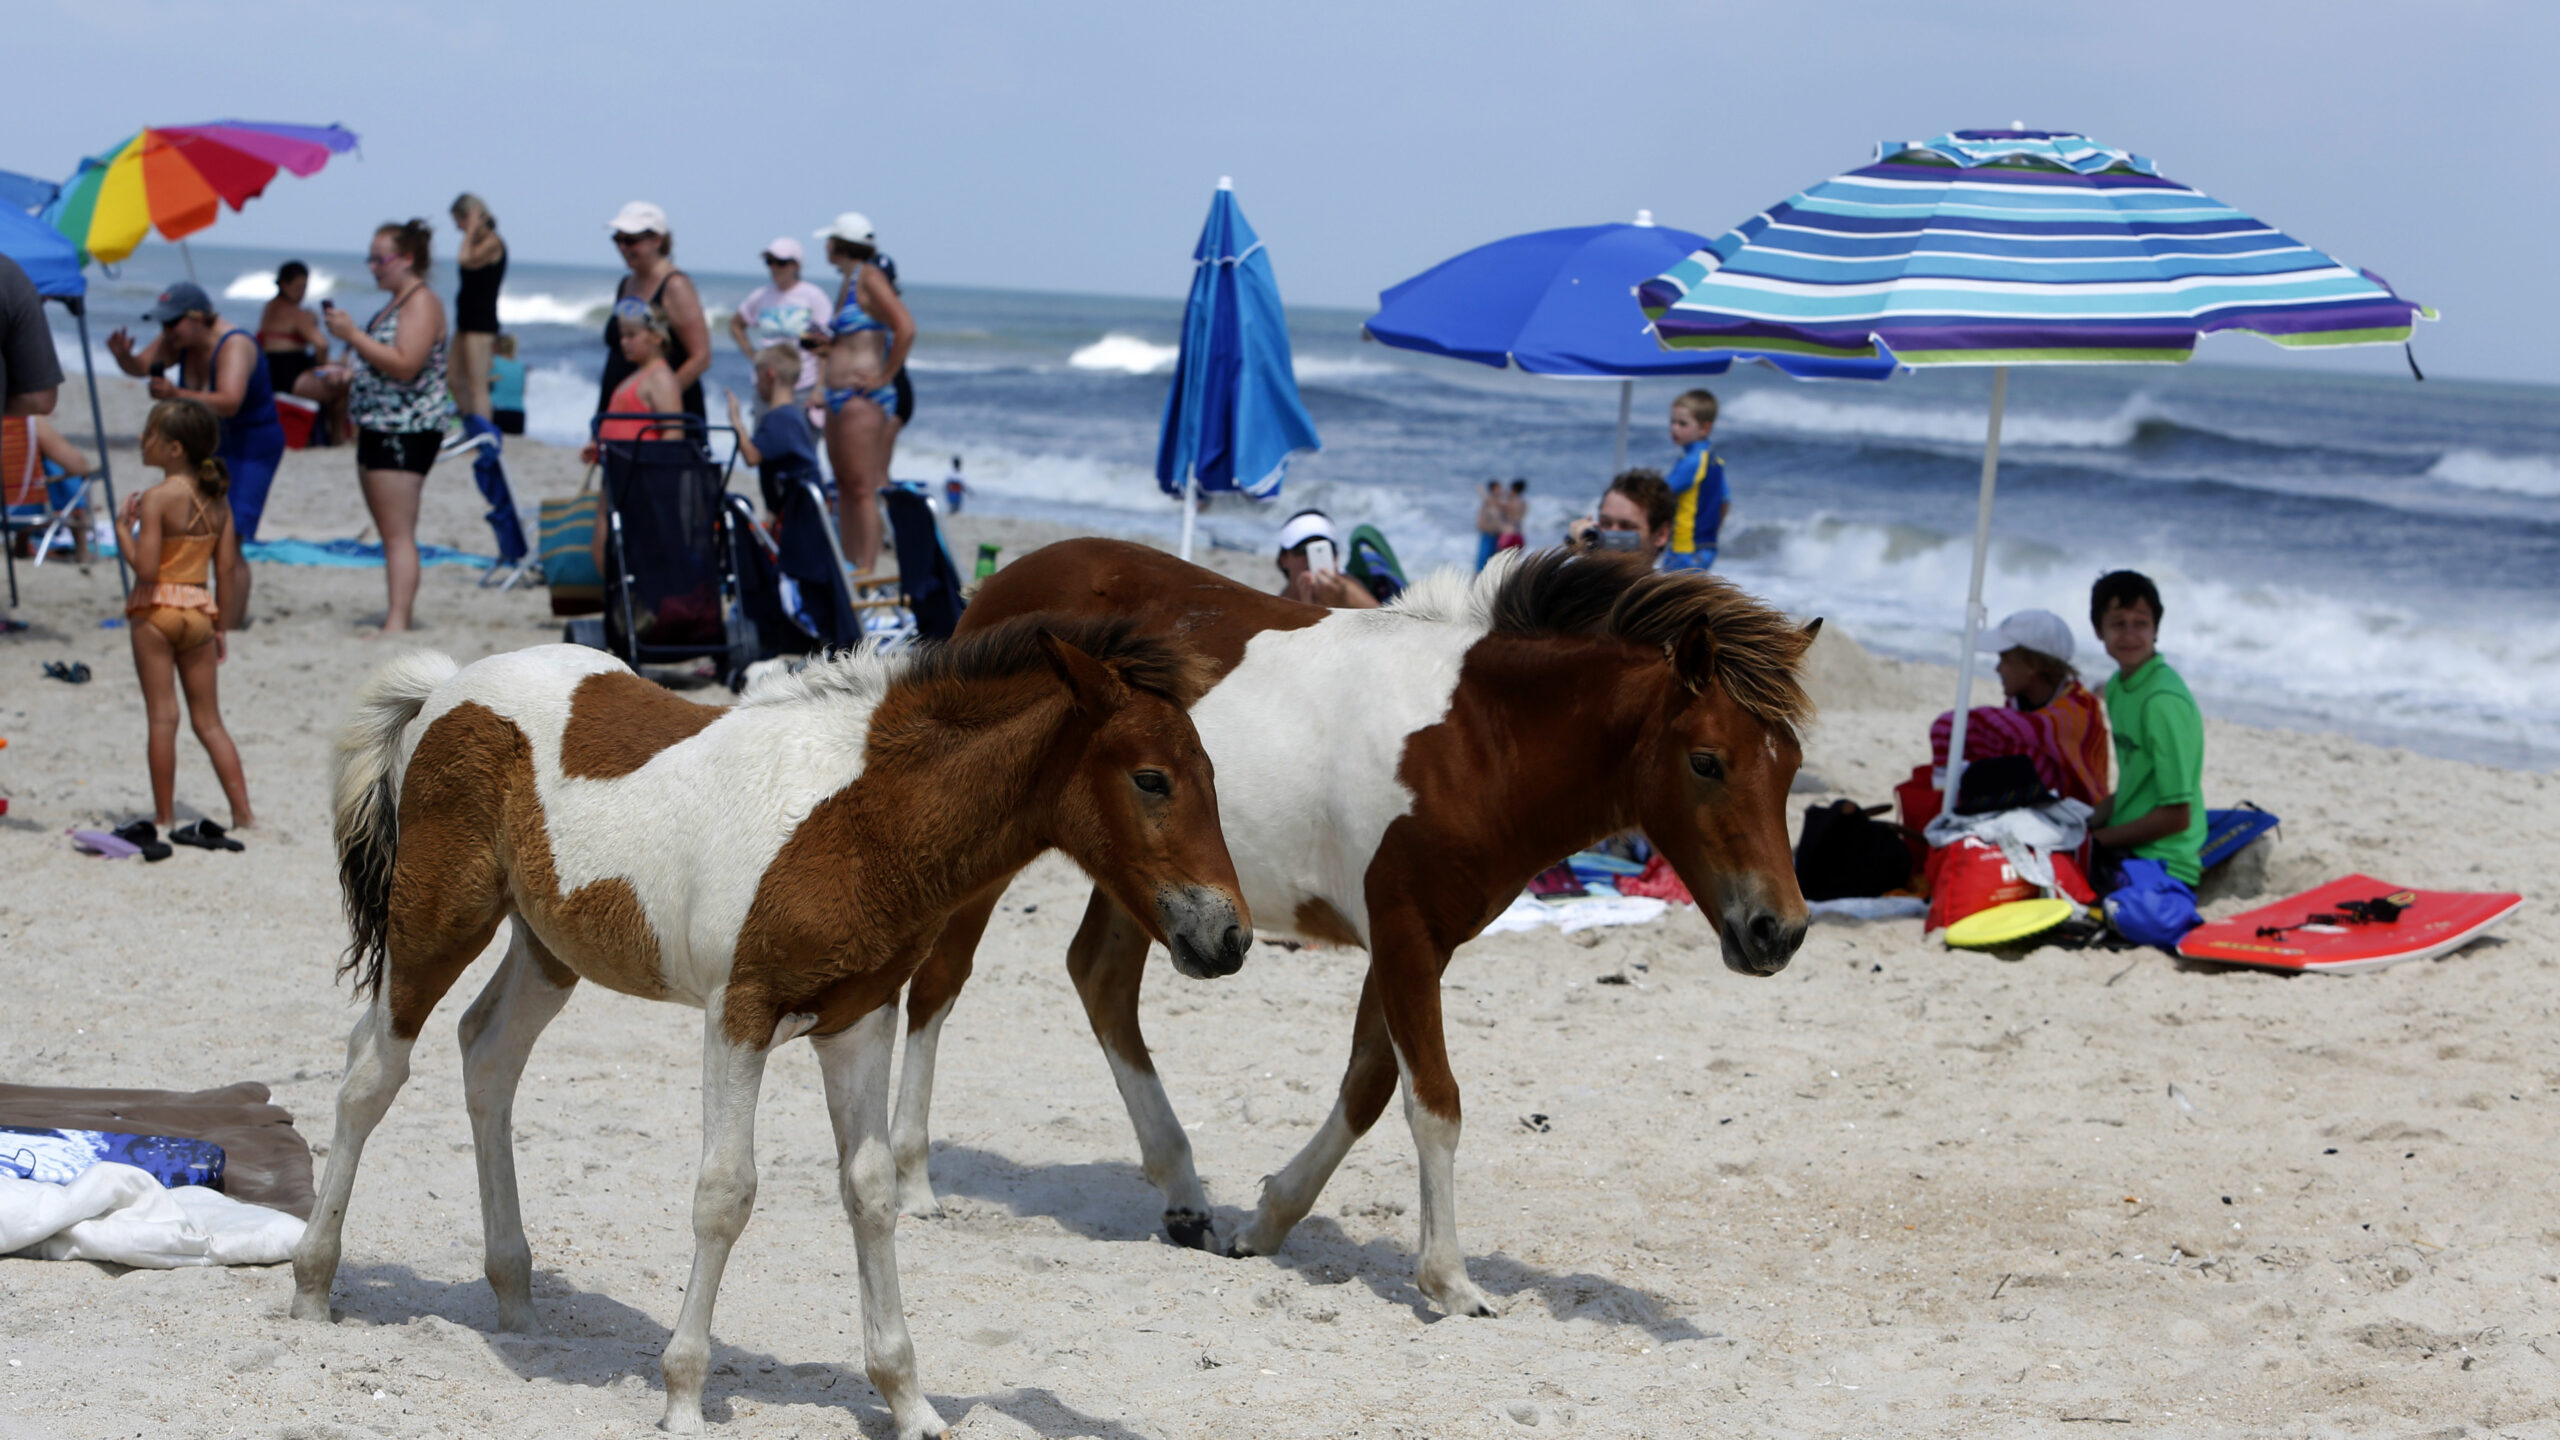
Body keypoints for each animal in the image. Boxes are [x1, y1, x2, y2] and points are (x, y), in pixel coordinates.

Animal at [288, 618, 1250, 1440]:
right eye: (1151, 779)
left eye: (1213, 777)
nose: (1228, 937)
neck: (864, 819)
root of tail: (450, 686)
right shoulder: (737, 1015)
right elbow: (725, 1194)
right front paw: (682, 1395)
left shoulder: (860, 1020)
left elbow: (870, 1192)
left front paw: (908, 1401)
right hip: (436, 922)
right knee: (371, 1073)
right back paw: (312, 1287)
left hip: (550, 947)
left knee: (488, 1055)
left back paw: (517, 1303)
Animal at [888, 540, 1815, 1319]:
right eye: (1707, 761)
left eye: (1792, 768)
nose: (1779, 931)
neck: (1478, 740)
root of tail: (1001, 587)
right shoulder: (1405, 935)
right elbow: (1433, 1100)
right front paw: (1450, 1280)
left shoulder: (1416, 940)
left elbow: (1369, 1087)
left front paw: (1265, 1223)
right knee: (938, 983)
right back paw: (913, 1184)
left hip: (1143, 882)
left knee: (1100, 980)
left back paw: (1185, 1196)